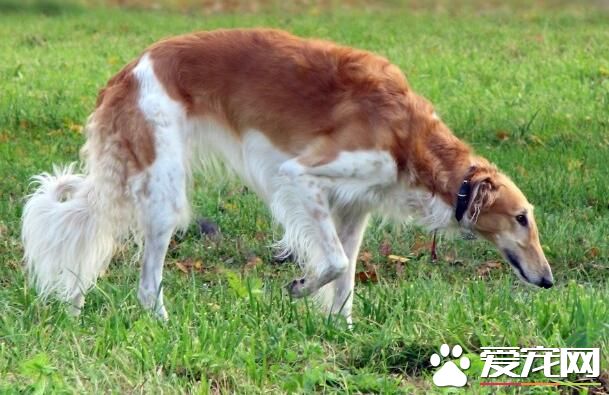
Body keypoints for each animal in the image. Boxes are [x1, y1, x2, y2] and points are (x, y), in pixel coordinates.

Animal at [20, 28, 552, 324]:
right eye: (522, 219)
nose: (548, 281)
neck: (409, 138)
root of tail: (127, 71)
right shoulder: (299, 177)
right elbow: (333, 264)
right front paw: (298, 287)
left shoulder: (354, 207)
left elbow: (347, 276)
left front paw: (341, 330)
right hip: (165, 196)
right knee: (147, 285)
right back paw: (162, 326)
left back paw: (77, 311)